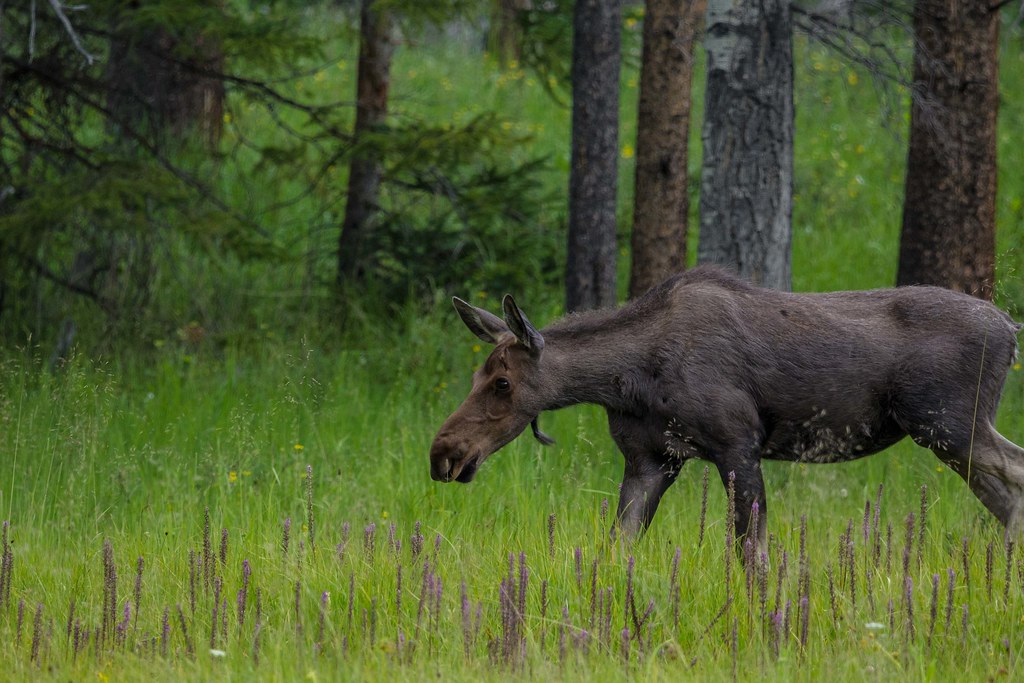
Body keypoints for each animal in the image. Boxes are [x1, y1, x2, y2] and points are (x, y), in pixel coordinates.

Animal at [429, 267, 1024, 549]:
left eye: (502, 382)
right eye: (478, 375)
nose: (443, 452)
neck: (629, 380)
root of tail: (1011, 329)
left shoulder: (737, 444)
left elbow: (750, 555)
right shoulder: (650, 460)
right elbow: (616, 549)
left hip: (951, 424)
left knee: (1016, 476)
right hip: (951, 439)